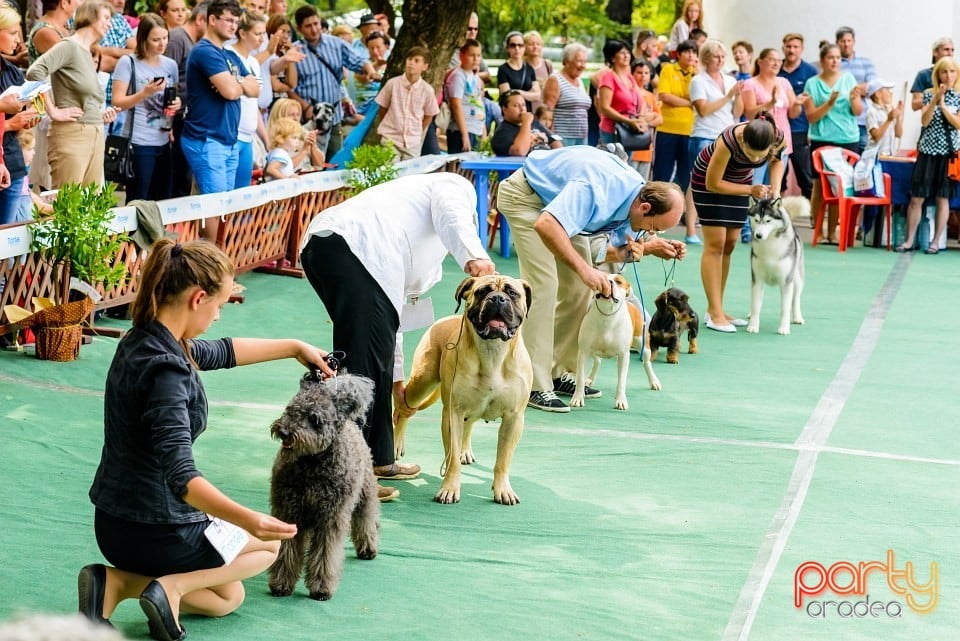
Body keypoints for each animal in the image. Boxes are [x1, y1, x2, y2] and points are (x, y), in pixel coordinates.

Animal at [268, 370, 380, 600]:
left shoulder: (330, 519)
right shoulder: (288, 512)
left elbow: (325, 553)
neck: (312, 466)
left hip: (365, 495)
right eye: (290, 409)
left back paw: (368, 548)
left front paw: (321, 587)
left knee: (366, 519)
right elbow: (286, 550)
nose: (284, 431)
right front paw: (281, 583)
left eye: (314, 418)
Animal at [394, 276, 536, 504]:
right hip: (422, 382)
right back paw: (397, 443)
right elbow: (451, 458)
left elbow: (503, 459)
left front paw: (503, 489)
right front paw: (449, 488)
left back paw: (465, 450)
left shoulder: (513, 418)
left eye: (512, 293)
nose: (498, 298)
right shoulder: (453, 412)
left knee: (469, 424)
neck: (493, 351)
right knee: (404, 409)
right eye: (482, 291)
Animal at [568, 272, 660, 410]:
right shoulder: (583, 352)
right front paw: (578, 398)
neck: (607, 315)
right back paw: (589, 379)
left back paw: (654, 381)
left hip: (643, 344)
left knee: (646, 363)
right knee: (597, 361)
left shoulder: (623, 355)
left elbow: (621, 381)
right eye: (601, 277)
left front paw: (621, 400)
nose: (609, 282)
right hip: (592, 351)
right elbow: (579, 378)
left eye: (618, 282)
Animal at [748, 196, 808, 336]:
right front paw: (753, 325)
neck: (769, 245)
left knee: (795, 299)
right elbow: (756, 306)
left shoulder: (786, 282)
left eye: (768, 221)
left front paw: (784, 328)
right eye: (756, 220)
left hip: (797, 279)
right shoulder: (757, 279)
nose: (758, 235)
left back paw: (797, 317)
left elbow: (785, 309)